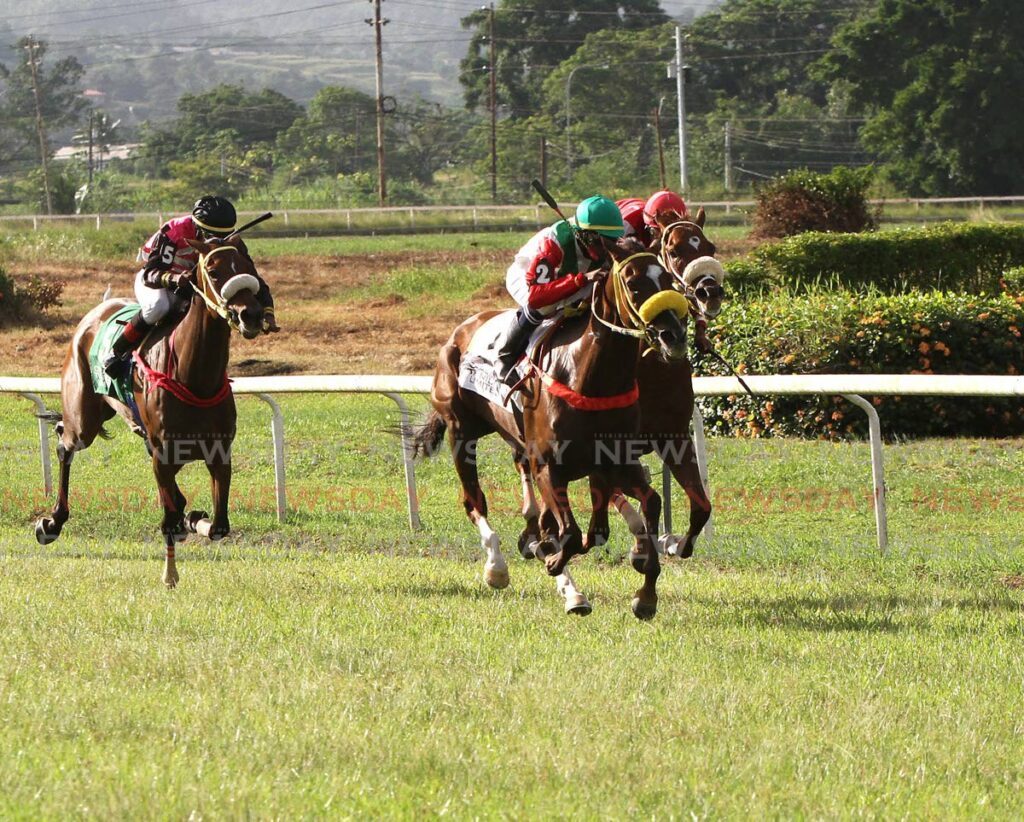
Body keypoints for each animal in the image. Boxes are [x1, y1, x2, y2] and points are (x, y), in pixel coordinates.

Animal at [35, 234, 268, 589]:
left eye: (248, 266)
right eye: (214, 271)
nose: (250, 315)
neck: (194, 376)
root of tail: (96, 311)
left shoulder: (219, 452)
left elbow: (218, 526)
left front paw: (195, 519)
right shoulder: (163, 454)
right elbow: (169, 519)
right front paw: (170, 574)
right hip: (84, 419)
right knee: (65, 443)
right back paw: (52, 522)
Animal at [411, 237, 692, 618]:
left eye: (665, 278)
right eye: (632, 282)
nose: (673, 335)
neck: (589, 377)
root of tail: (459, 331)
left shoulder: (613, 462)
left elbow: (634, 511)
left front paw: (645, 593)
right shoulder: (549, 466)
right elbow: (571, 534)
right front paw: (554, 561)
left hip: (515, 438)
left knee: (536, 507)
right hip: (461, 432)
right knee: (475, 502)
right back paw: (499, 568)